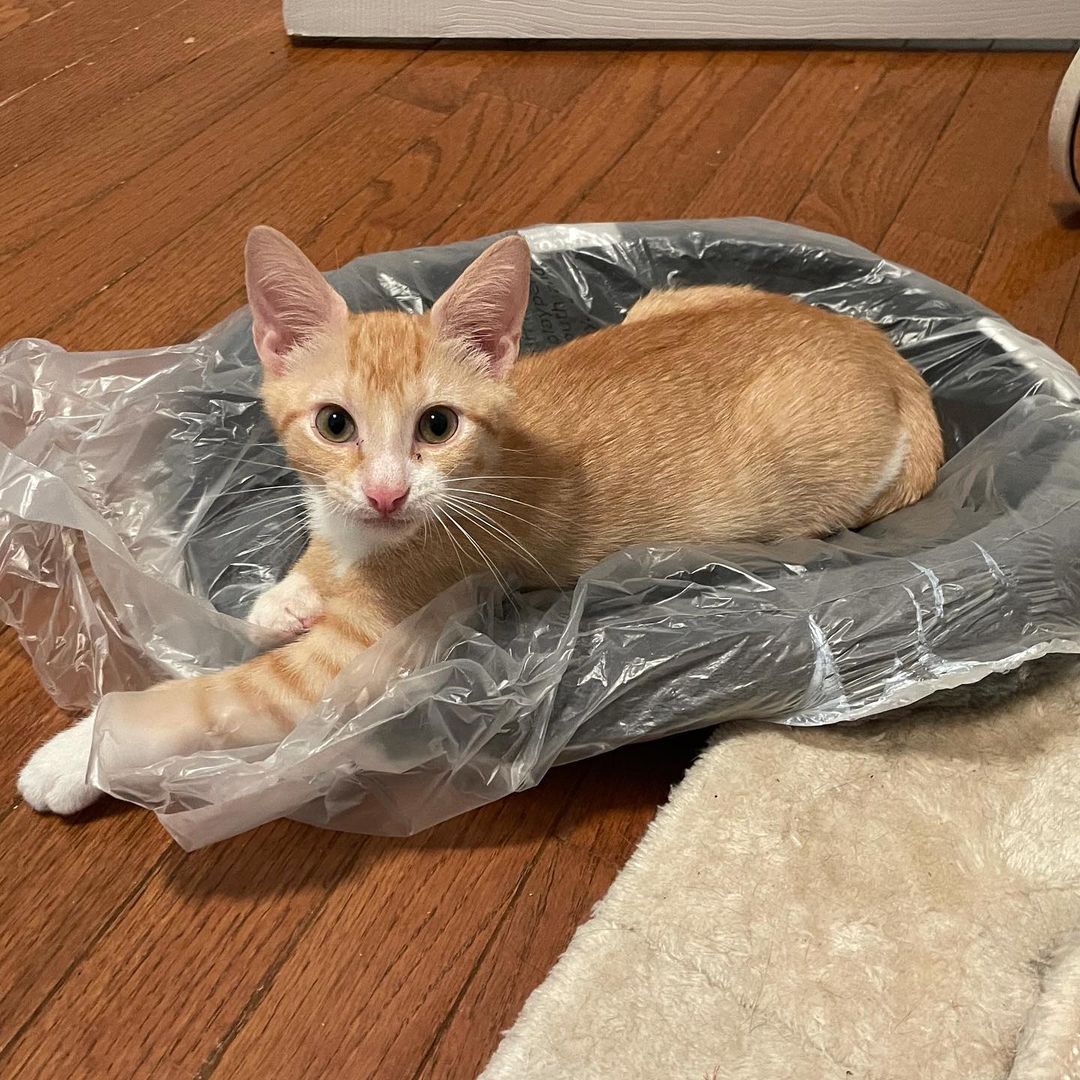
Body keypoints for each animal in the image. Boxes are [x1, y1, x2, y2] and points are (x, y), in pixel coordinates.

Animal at [19, 230, 946, 816]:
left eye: (437, 425)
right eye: (334, 424)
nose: (388, 494)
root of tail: (886, 353)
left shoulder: (347, 659)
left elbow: (201, 704)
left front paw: (79, 755)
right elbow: (313, 559)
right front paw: (282, 597)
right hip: (670, 296)